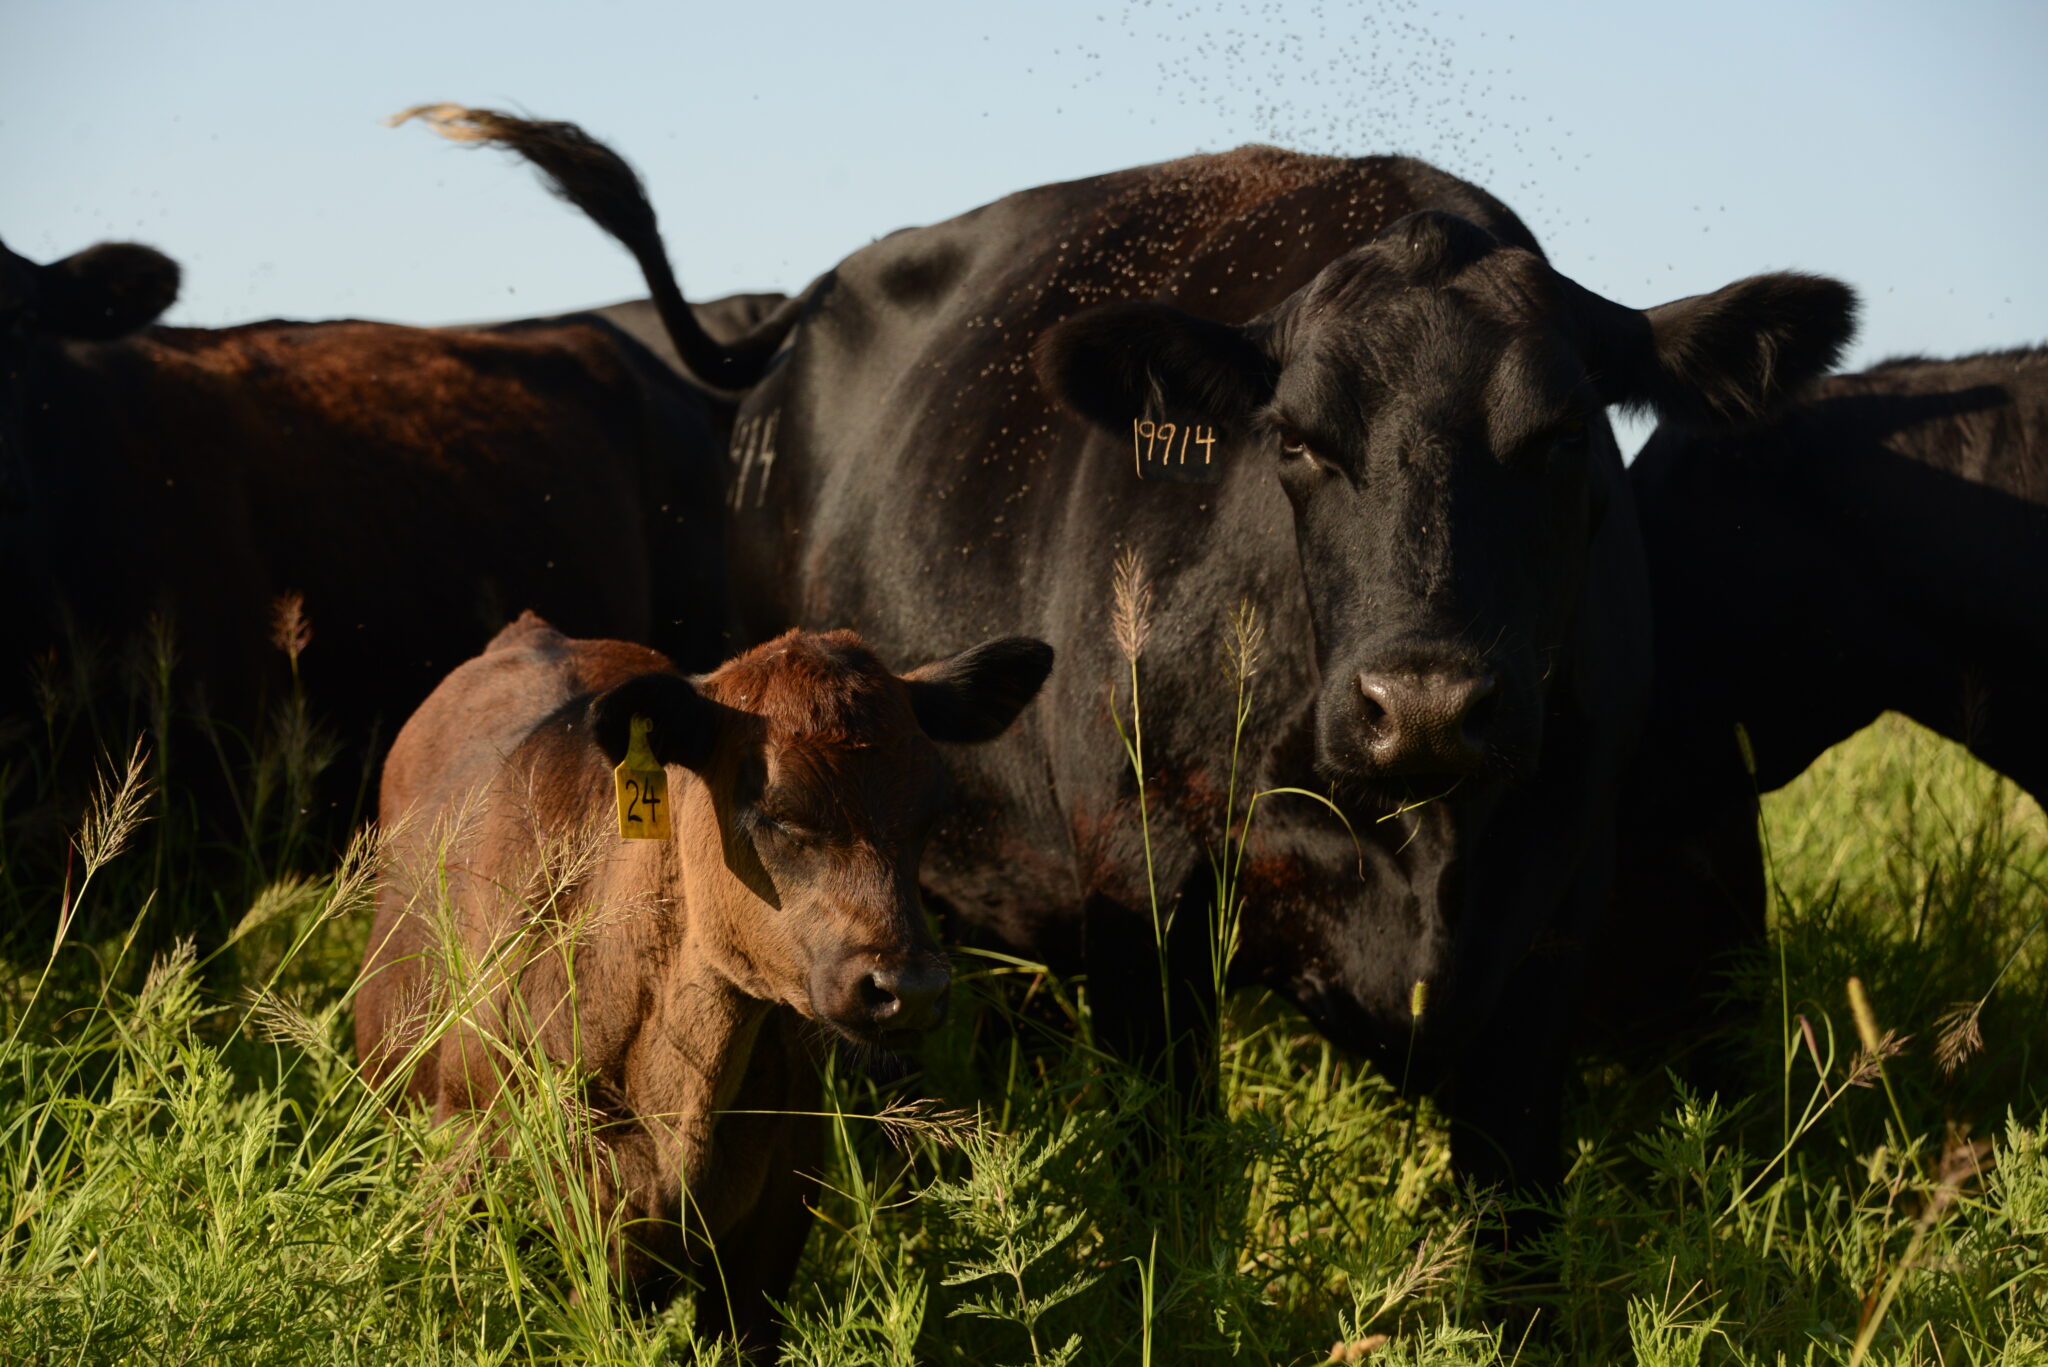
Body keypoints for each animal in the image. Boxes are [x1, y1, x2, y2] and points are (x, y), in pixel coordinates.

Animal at [405, 105, 1857, 1209]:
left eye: (1561, 437)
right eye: (1299, 438)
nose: (1427, 702)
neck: (1414, 848)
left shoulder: (1543, 942)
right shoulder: (1144, 921)